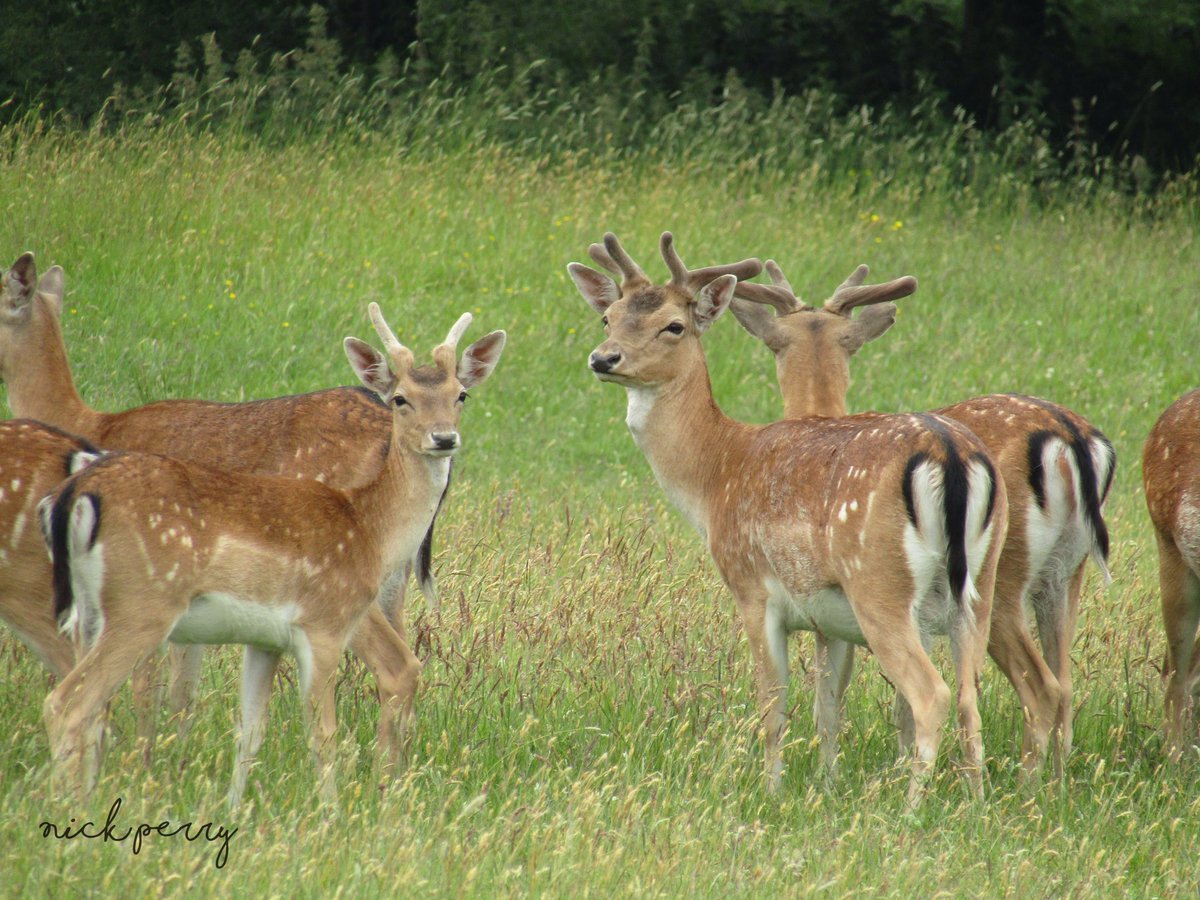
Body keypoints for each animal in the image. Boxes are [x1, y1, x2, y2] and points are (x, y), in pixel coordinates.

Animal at [39, 307, 504, 806]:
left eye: (461, 395)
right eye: (400, 399)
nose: (444, 438)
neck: (369, 529)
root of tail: (74, 494)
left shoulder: (264, 639)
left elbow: (249, 730)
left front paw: (232, 809)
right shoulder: (323, 625)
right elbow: (323, 733)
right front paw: (331, 813)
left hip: (89, 613)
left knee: (89, 709)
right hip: (142, 605)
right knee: (69, 703)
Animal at [571, 232, 1003, 801]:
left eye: (674, 325)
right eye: (609, 317)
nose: (604, 358)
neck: (718, 475)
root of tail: (950, 454)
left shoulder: (753, 588)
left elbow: (772, 707)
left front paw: (771, 791)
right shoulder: (827, 618)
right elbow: (827, 708)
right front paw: (826, 787)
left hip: (879, 584)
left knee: (930, 693)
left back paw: (912, 807)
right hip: (978, 587)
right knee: (971, 695)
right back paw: (975, 804)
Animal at [729, 260, 1113, 782]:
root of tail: (1072, 436)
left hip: (999, 584)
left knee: (1040, 687)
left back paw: (1024, 785)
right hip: (1066, 573)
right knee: (1065, 684)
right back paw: (1054, 787)